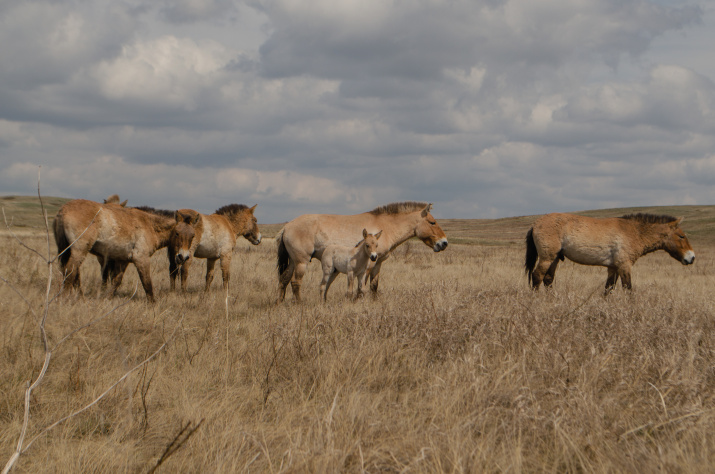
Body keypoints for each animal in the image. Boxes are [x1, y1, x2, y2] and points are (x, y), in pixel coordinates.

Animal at [52, 198, 193, 302]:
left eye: (192, 236)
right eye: (177, 233)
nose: (183, 257)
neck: (149, 225)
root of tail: (63, 210)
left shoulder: (123, 260)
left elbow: (116, 281)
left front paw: (106, 298)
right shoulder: (141, 259)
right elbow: (147, 283)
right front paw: (153, 305)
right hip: (79, 251)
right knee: (70, 272)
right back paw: (65, 298)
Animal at [276, 202, 448, 302]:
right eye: (432, 222)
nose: (444, 242)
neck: (385, 226)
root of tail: (287, 226)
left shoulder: (378, 263)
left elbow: (373, 285)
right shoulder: (368, 265)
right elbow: (362, 285)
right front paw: (358, 301)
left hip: (293, 262)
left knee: (284, 280)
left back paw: (280, 303)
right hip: (301, 262)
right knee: (295, 282)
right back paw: (299, 303)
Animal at [524, 212, 696, 292]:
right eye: (681, 236)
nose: (692, 257)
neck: (634, 232)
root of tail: (535, 224)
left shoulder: (613, 268)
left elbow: (608, 289)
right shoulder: (624, 266)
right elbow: (628, 289)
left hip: (554, 259)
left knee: (548, 279)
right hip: (547, 258)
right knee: (537, 276)